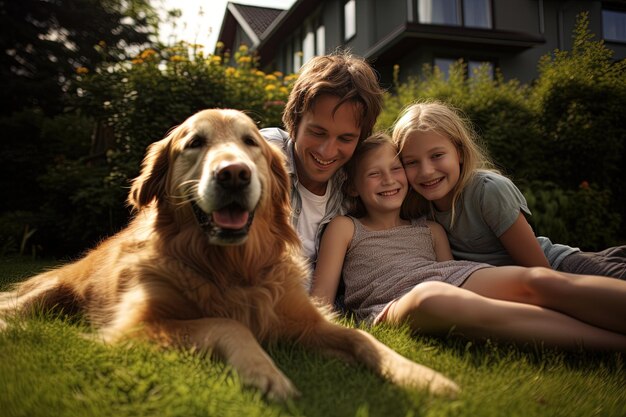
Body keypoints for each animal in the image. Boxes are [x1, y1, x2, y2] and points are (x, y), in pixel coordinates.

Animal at [0, 108, 458, 400]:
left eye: (249, 142)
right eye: (195, 143)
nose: (233, 174)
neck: (232, 267)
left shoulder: (303, 321)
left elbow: (364, 338)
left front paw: (423, 375)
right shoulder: (137, 327)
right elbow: (227, 323)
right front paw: (265, 372)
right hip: (55, 289)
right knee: (18, 304)